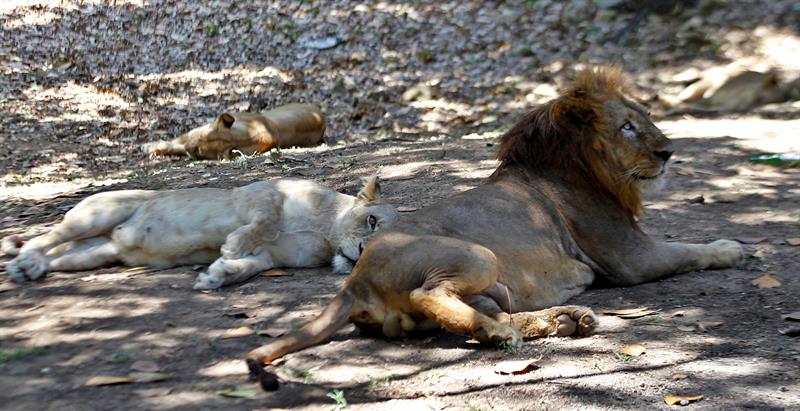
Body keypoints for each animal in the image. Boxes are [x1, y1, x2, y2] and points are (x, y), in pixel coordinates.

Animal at [3, 177, 398, 290]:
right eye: (371, 221)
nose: (361, 254)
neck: (325, 233)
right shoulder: (262, 192)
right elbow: (265, 223)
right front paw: (232, 247)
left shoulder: (272, 257)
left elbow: (249, 267)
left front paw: (217, 275)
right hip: (98, 214)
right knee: (45, 238)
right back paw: (26, 260)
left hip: (94, 253)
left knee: (59, 256)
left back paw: (30, 268)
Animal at [245, 67, 744, 376]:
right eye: (627, 126)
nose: (668, 152)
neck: (579, 167)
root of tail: (354, 281)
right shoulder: (631, 257)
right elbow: (689, 249)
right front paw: (731, 248)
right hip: (477, 256)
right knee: (430, 294)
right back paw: (517, 329)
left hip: (490, 287)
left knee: (478, 312)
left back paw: (563, 320)